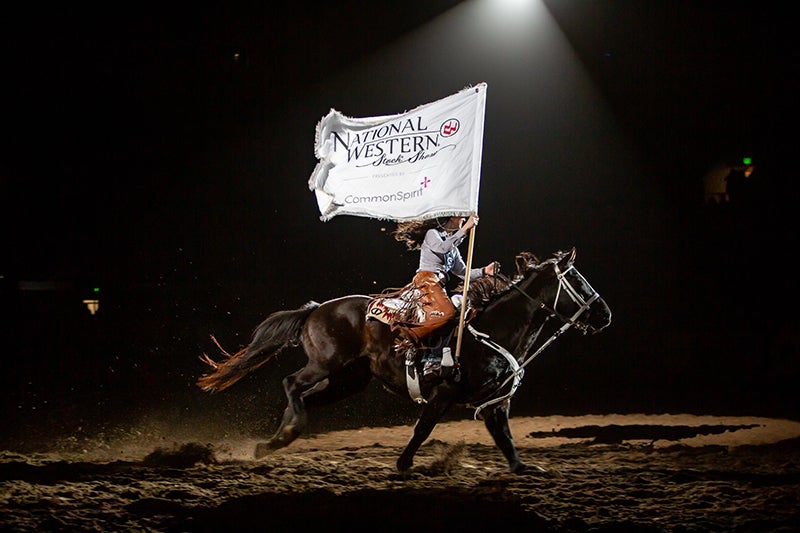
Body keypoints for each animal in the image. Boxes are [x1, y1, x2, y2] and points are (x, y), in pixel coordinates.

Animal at [197, 247, 608, 472]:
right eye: (578, 280)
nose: (604, 314)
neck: (494, 329)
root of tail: (315, 310)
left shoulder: (495, 403)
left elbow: (504, 437)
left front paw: (523, 467)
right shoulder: (443, 393)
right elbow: (423, 428)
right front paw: (404, 463)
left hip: (349, 380)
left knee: (307, 398)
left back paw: (276, 440)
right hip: (325, 364)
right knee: (291, 384)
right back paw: (289, 429)